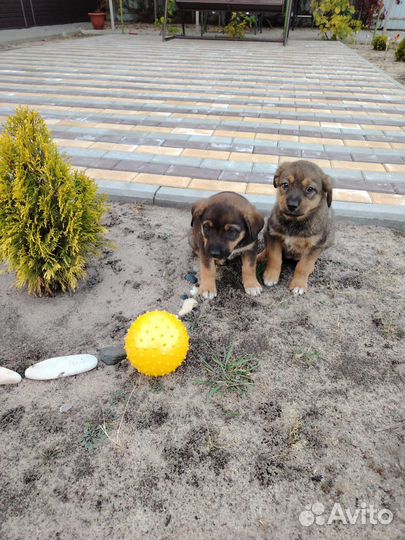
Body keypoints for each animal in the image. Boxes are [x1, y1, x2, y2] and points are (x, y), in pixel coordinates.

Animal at [260, 160, 332, 296]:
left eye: (310, 189)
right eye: (285, 185)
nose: (291, 205)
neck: (294, 221)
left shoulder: (315, 245)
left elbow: (303, 266)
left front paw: (298, 285)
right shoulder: (273, 234)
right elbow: (274, 257)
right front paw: (271, 276)